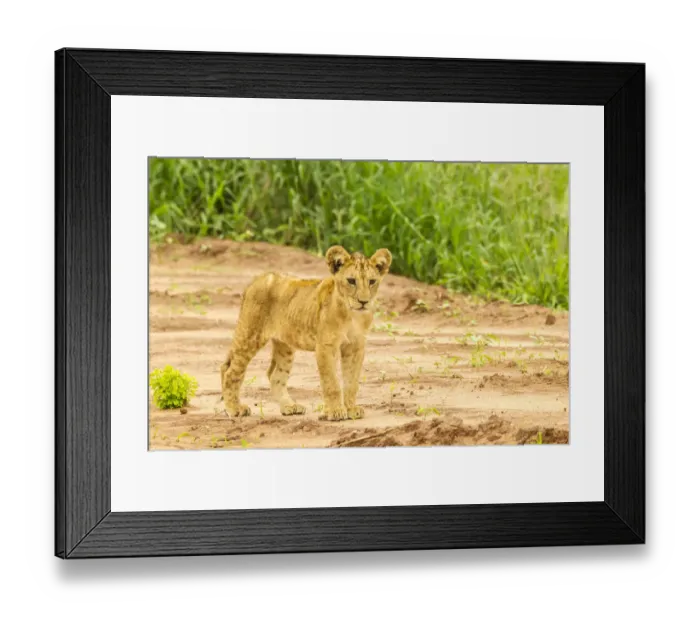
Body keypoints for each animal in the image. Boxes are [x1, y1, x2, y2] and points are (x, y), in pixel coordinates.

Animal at [220, 245, 392, 421]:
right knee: (229, 370)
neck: (351, 314)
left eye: (372, 281)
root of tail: (257, 279)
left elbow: (352, 382)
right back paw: (235, 408)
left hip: (285, 346)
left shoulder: (355, 347)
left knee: (275, 375)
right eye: (351, 281)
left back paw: (289, 407)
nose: (364, 302)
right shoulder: (325, 346)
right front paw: (335, 411)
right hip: (250, 334)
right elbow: (331, 382)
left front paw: (351, 409)